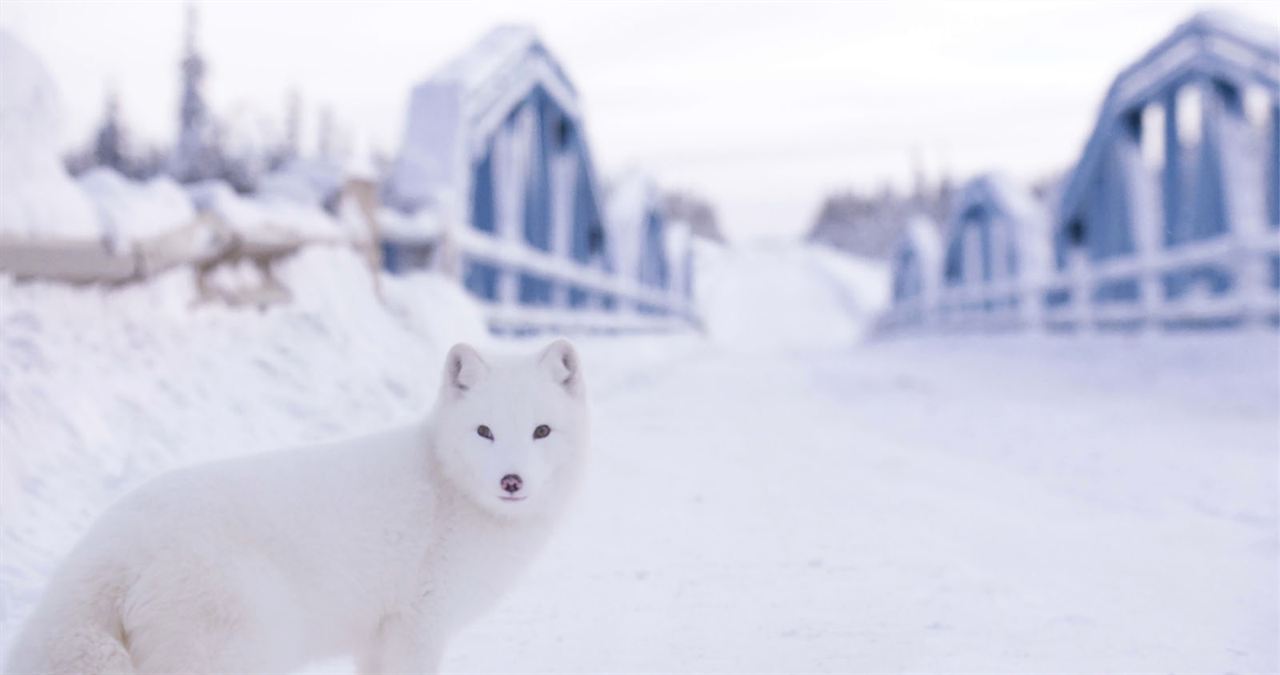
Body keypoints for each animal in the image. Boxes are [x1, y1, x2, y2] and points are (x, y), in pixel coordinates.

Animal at [2, 340, 586, 671]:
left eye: (541, 431)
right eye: (484, 431)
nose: (511, 480)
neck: (450, 490)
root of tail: (111, 551)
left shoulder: (377, 641)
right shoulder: (416, 628)